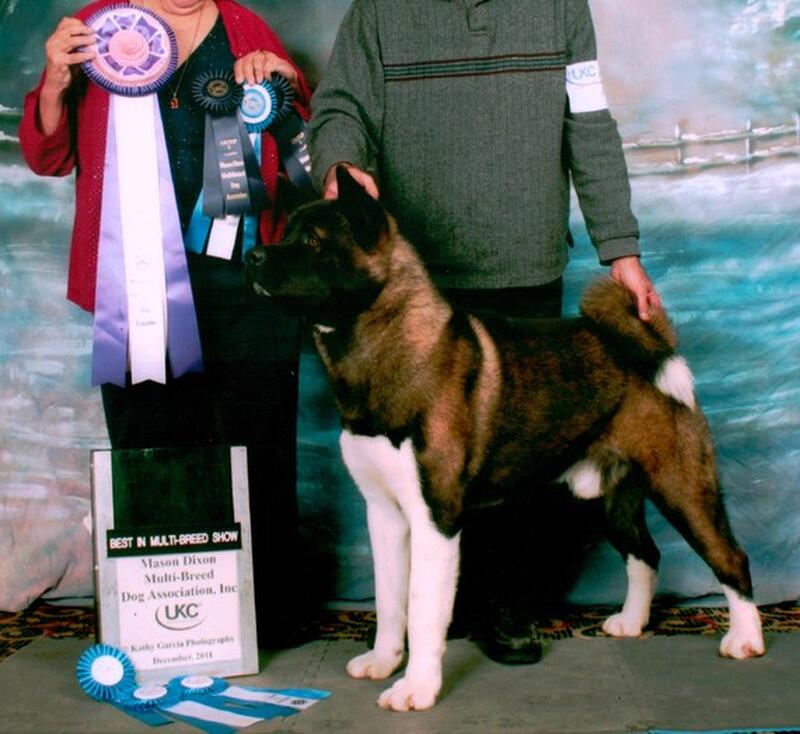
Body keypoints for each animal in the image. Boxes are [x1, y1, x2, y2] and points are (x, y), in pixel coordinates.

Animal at [246, 167, 765, 711]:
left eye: (312, 240)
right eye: (286, 231)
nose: (253, 256)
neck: (387, 343)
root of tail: (649, 342)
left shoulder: (436, 517)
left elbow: (422, 608)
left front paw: (416, 688)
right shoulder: (385, 514)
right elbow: (390, 602)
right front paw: (384, 661)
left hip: (681, 486)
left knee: (730, 558)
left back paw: (745, 639)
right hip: (613, 500)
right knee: (646, 554)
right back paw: (631, 622)